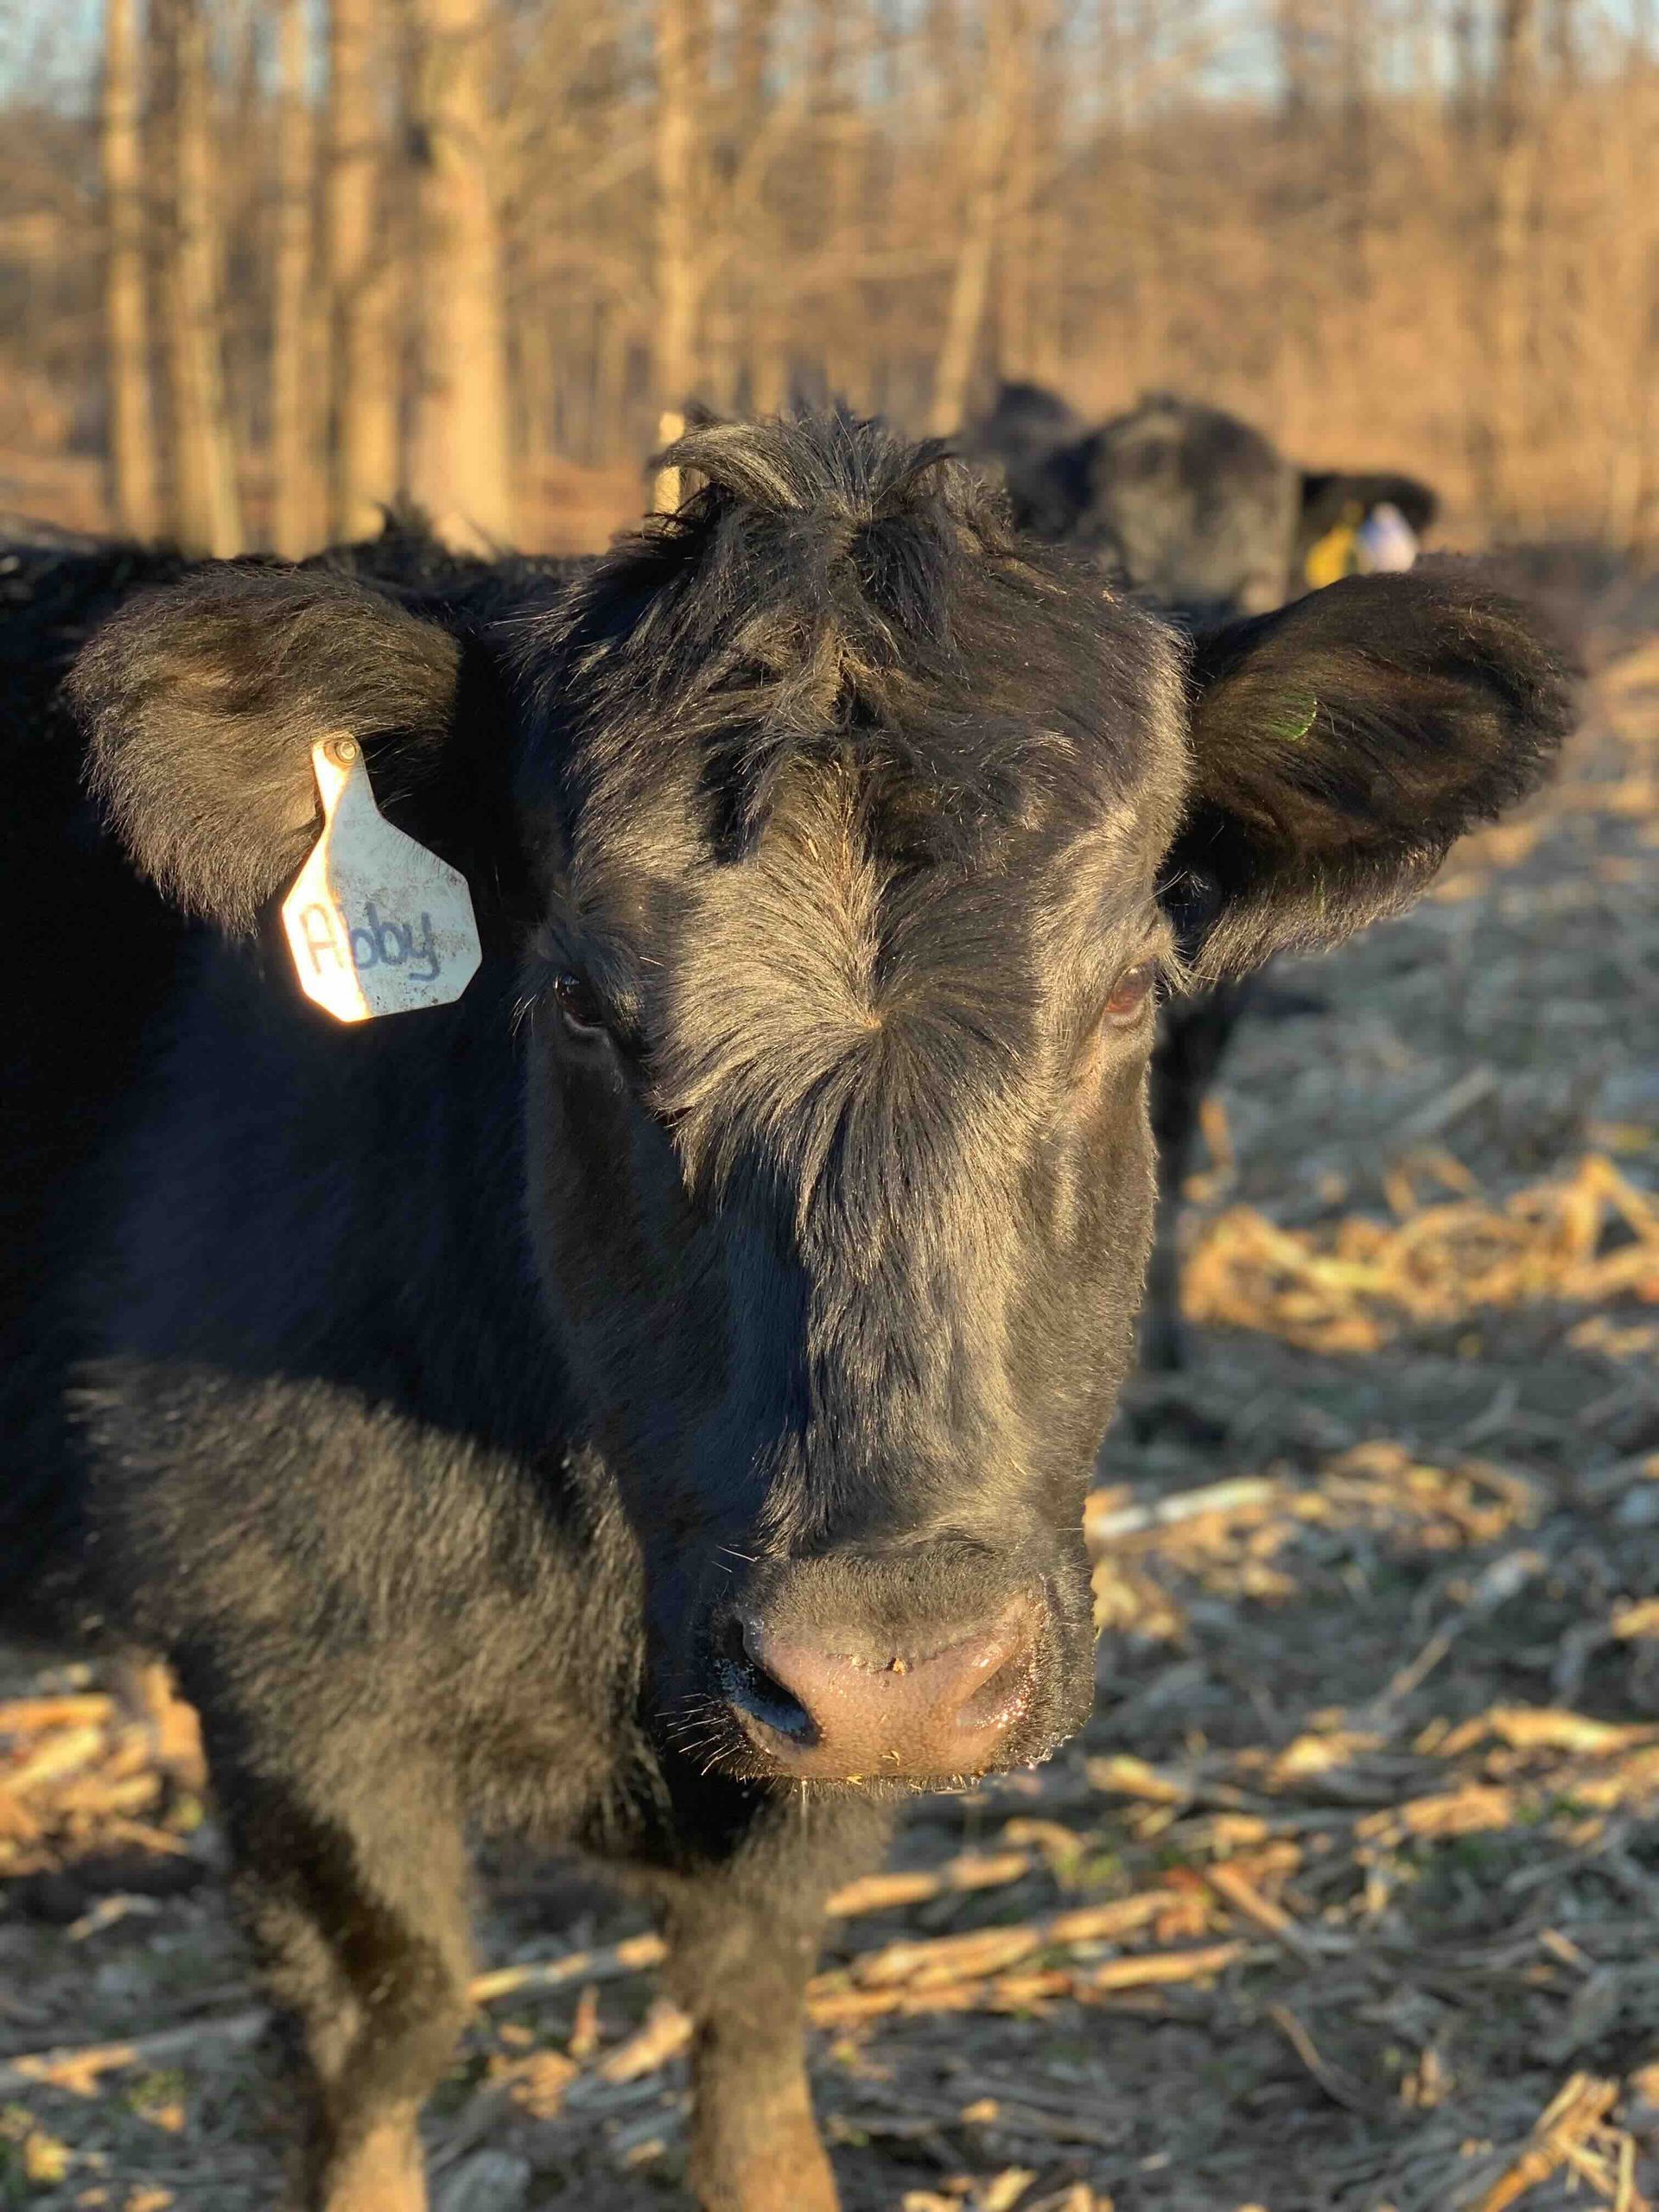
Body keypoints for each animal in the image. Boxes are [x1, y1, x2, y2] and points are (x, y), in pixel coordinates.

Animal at [1, 412, 1571, 2212]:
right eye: (579, 1003)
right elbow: (382, 2029)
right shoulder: (283, 1671)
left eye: (1127, 990)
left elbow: (752, 2016)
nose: (895, 1669)